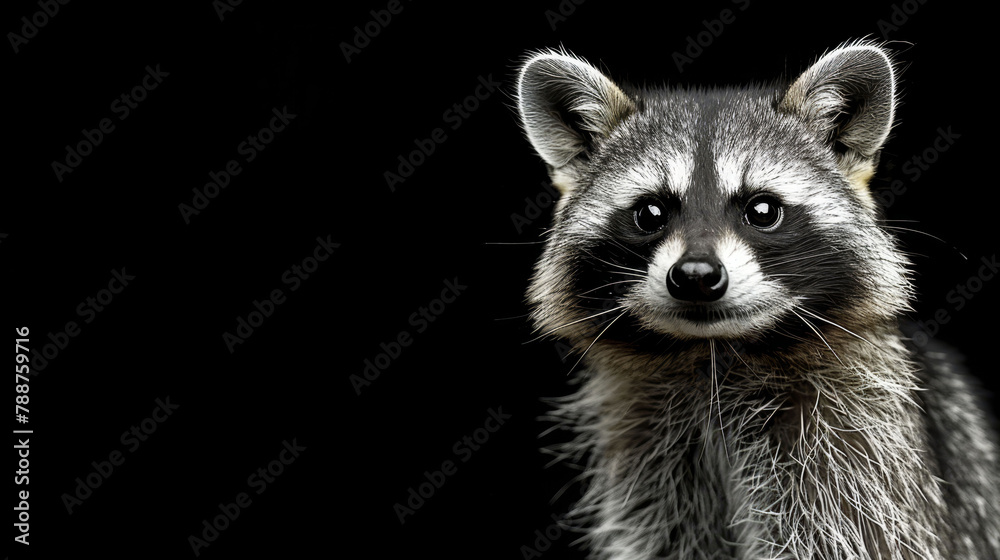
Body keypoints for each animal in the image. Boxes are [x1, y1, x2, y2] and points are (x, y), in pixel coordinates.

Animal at [516, 40, 1000, 560]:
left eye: (762, 210)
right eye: (650, 213)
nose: (696, 276)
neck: (715, 352)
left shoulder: (859, 449)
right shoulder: (650, 461)